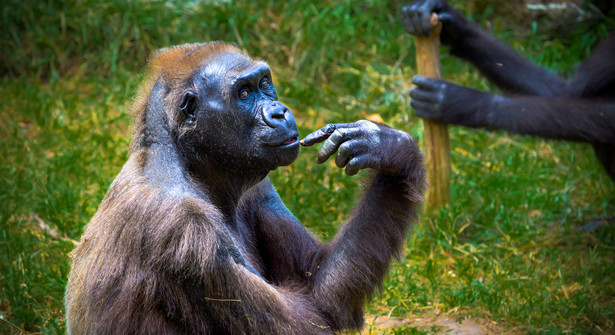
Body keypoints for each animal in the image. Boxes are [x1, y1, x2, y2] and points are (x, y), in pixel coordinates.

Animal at [65, 42, 426, 335]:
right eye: (243, 94)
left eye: (265, 84)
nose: (280, 112)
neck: (185, 158)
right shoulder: (181, 226)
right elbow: (302, 322)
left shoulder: (258, 185)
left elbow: (321, 288)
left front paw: (392, 151)